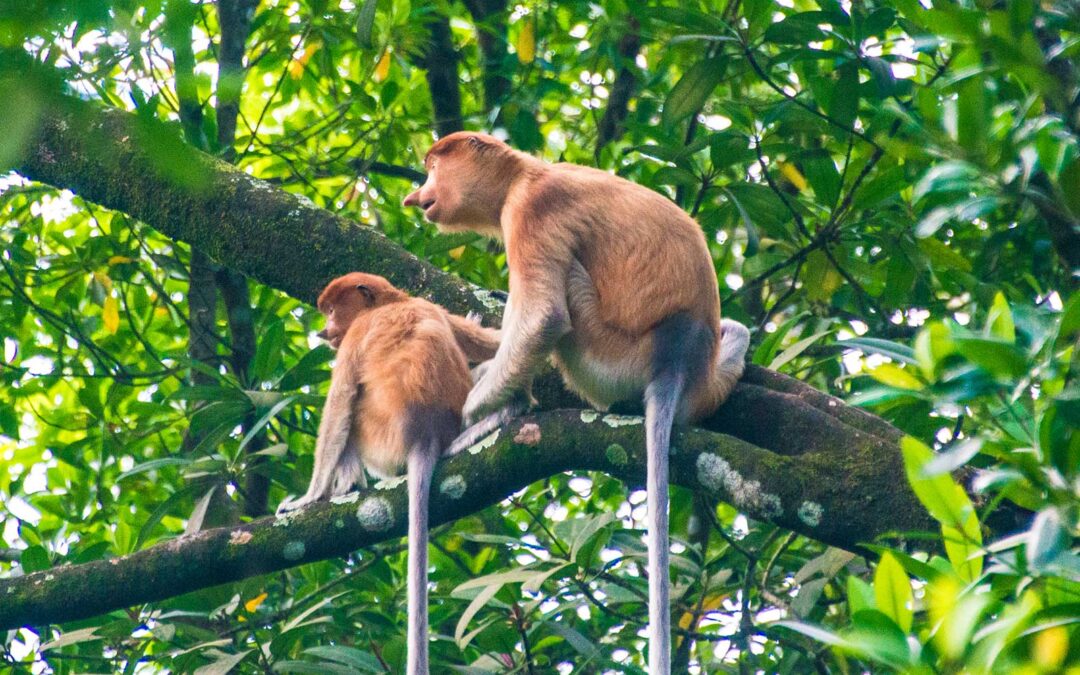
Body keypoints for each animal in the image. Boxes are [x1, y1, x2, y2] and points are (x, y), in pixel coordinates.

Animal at [277, 272, 500, 675]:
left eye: (332, 310)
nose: (327, 330)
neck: (389, 303)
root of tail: (426, 435)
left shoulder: (357, 334)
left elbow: (340, 399)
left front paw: (307, 499)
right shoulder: (428, 303)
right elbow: (491, 341)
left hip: (377, 438)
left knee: (351, 412)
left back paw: (346, 485)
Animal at [403, 132, 750, 673]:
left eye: (434, 166)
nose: (418, 195)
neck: (524, 174)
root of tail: (676, 357)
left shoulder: (530, 212)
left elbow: (542, 317)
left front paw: (468, 416)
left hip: (606, 359)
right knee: (737, 332)